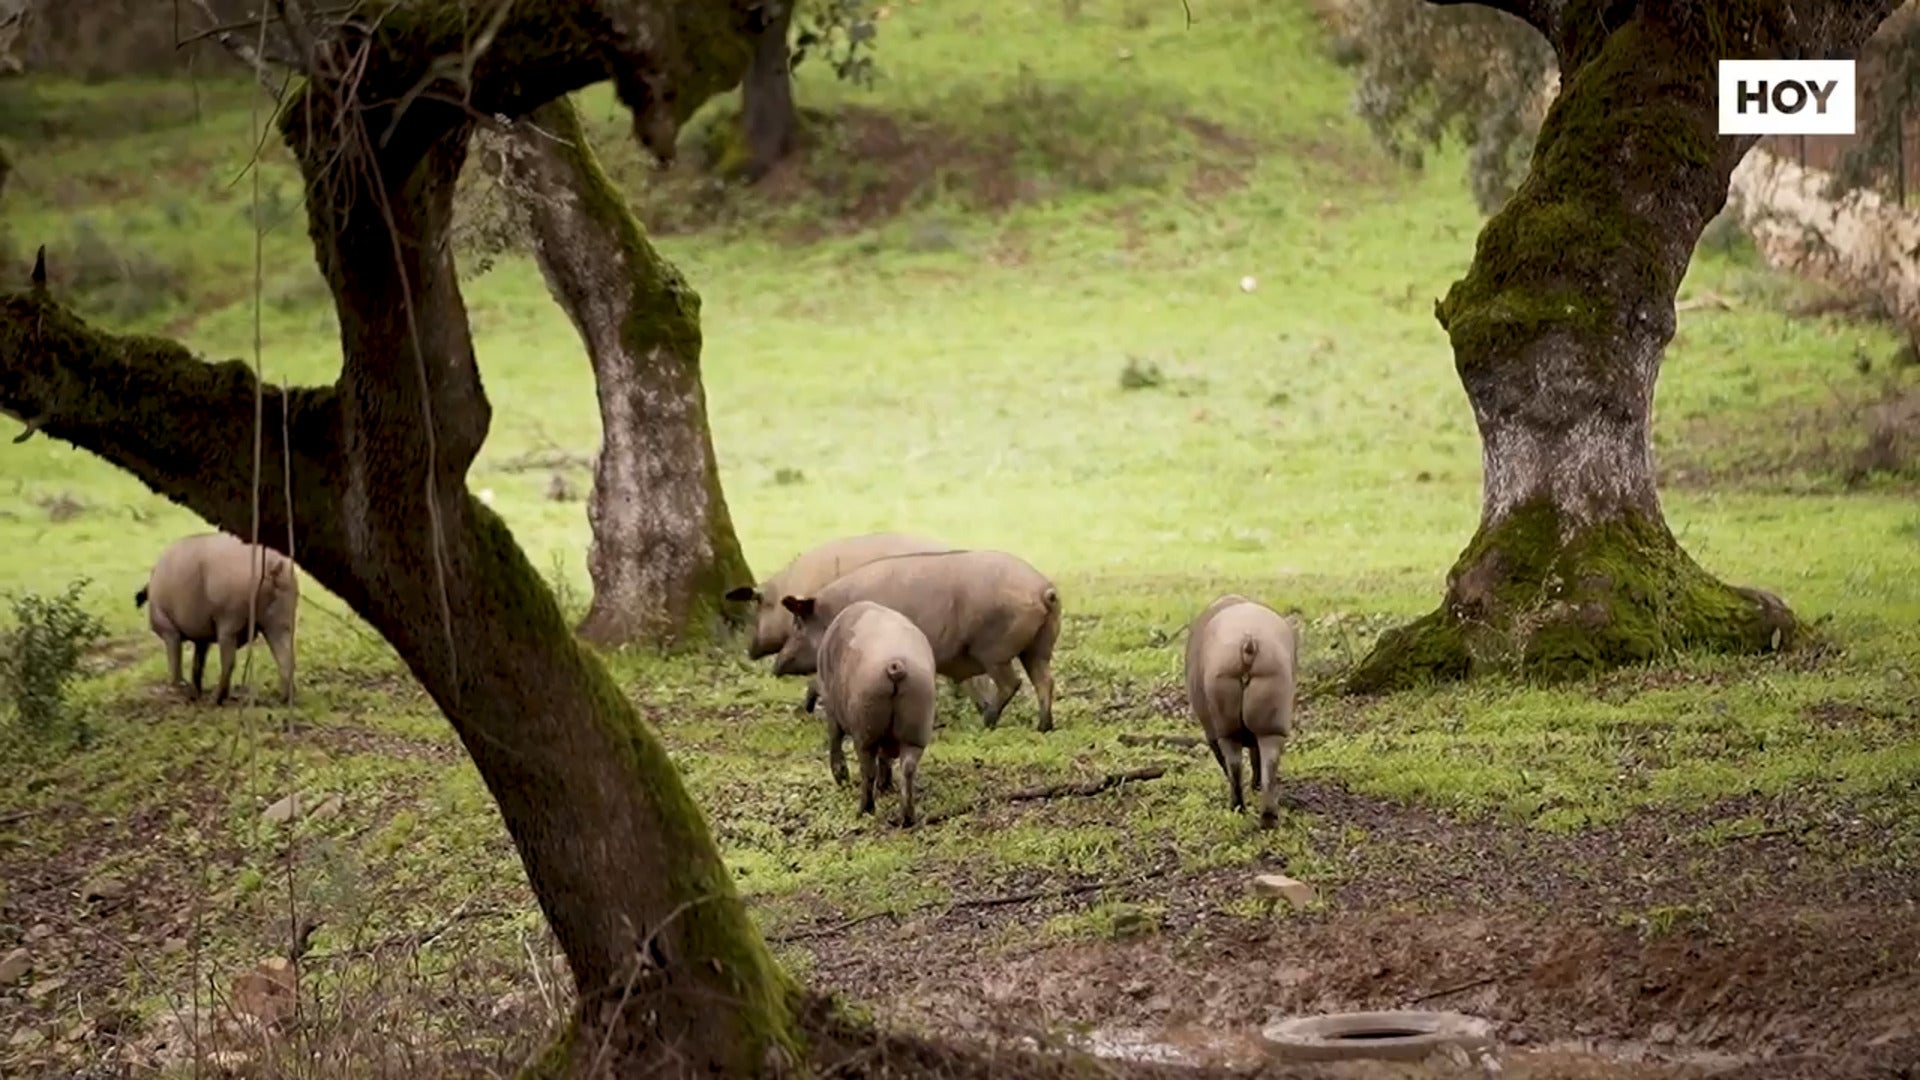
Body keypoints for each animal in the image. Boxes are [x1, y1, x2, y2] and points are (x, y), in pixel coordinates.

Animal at [135, 530, 297, 707]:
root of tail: (273, 566)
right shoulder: (202, 638)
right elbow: (197, 663)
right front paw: (195, 692)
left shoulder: (169, 630)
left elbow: (176, 661)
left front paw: (180, 691)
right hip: (280, 622)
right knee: (286, 657)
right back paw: (282, 700)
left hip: (229, 622)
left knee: (228, 662)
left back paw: (215, 699)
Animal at [771, 545, 1067, 730]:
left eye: (798, 624)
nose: (776, 666)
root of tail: (1044, 590)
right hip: (1038, 647)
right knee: (1044, 681)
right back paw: (1043, 727)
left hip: (994, 650)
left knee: (1012, 683)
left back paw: (988, 723)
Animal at [810, 595, 936, 822]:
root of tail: (895, 665)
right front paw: (885, 787)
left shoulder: (832, 710)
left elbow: (835, 738)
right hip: (917, 724)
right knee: (908, 767)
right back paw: (907, 818)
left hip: (866, 730)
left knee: (867, 769)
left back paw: (864, 810)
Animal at [1182, 591, 1305, 826]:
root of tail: (1249, 643)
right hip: (1273, 705)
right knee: (1269, 757)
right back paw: (1268, 817)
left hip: (1223, 713)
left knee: (1234, 759)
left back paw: (1238, 807)